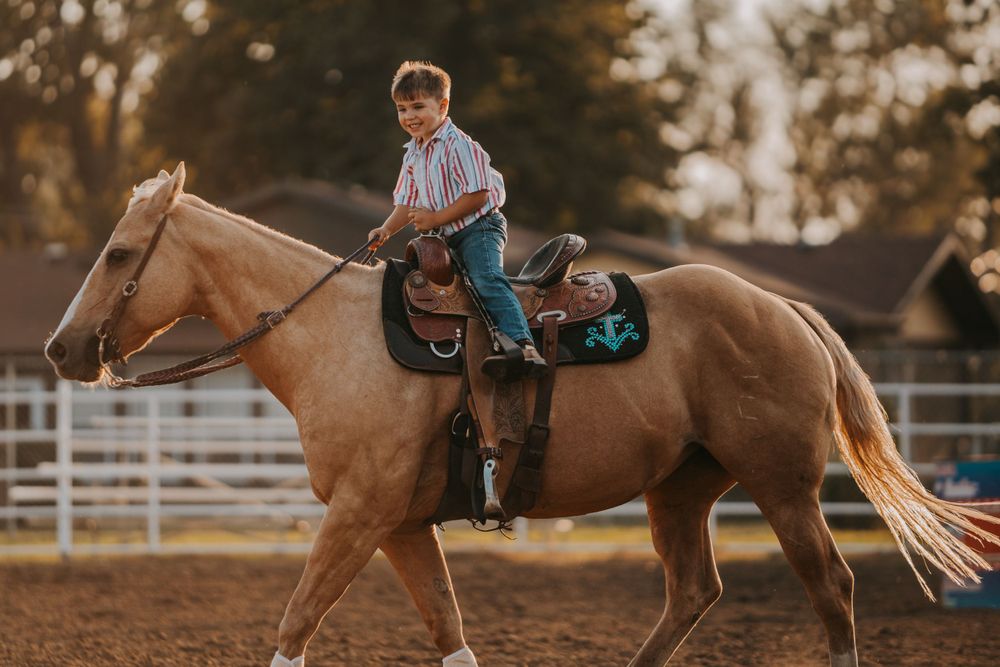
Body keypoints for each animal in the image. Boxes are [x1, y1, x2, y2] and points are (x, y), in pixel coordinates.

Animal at [45, 164, 1000, 667]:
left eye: (120, 254)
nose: (61, 349)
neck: (334, 337)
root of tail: (784, 308)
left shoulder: (357, 513)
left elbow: (296, 621)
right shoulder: (398, 524)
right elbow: (448, 630)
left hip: (784, 484)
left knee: (830, 586)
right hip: (681, 489)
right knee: (694, 590)